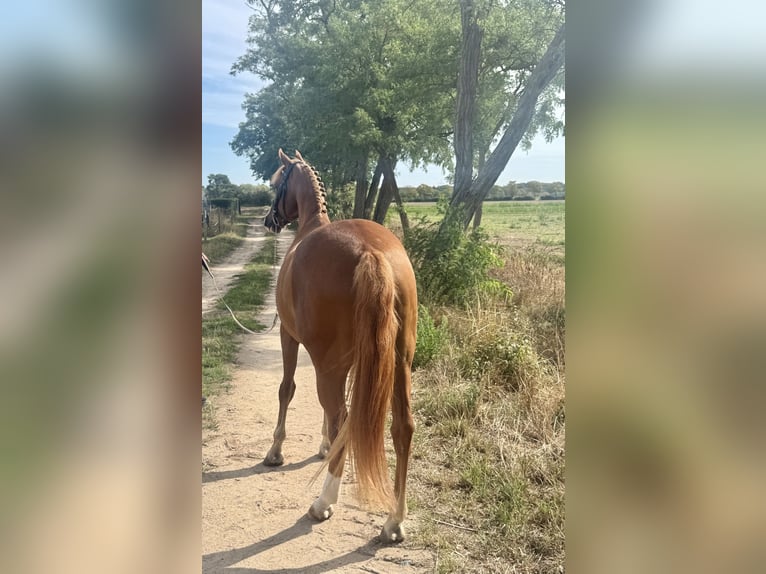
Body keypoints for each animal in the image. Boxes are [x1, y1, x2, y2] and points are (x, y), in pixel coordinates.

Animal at [262, 149, 417, 543]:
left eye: (276, 182)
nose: (270, 220)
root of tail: (372, 252)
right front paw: (321, 447)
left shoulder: (289, 337)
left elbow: (286, 389)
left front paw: (275, 450)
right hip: (400, 361)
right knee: (401, 428)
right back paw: (394, 520)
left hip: (328, 364)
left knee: (342, 418)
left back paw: (323, 503)